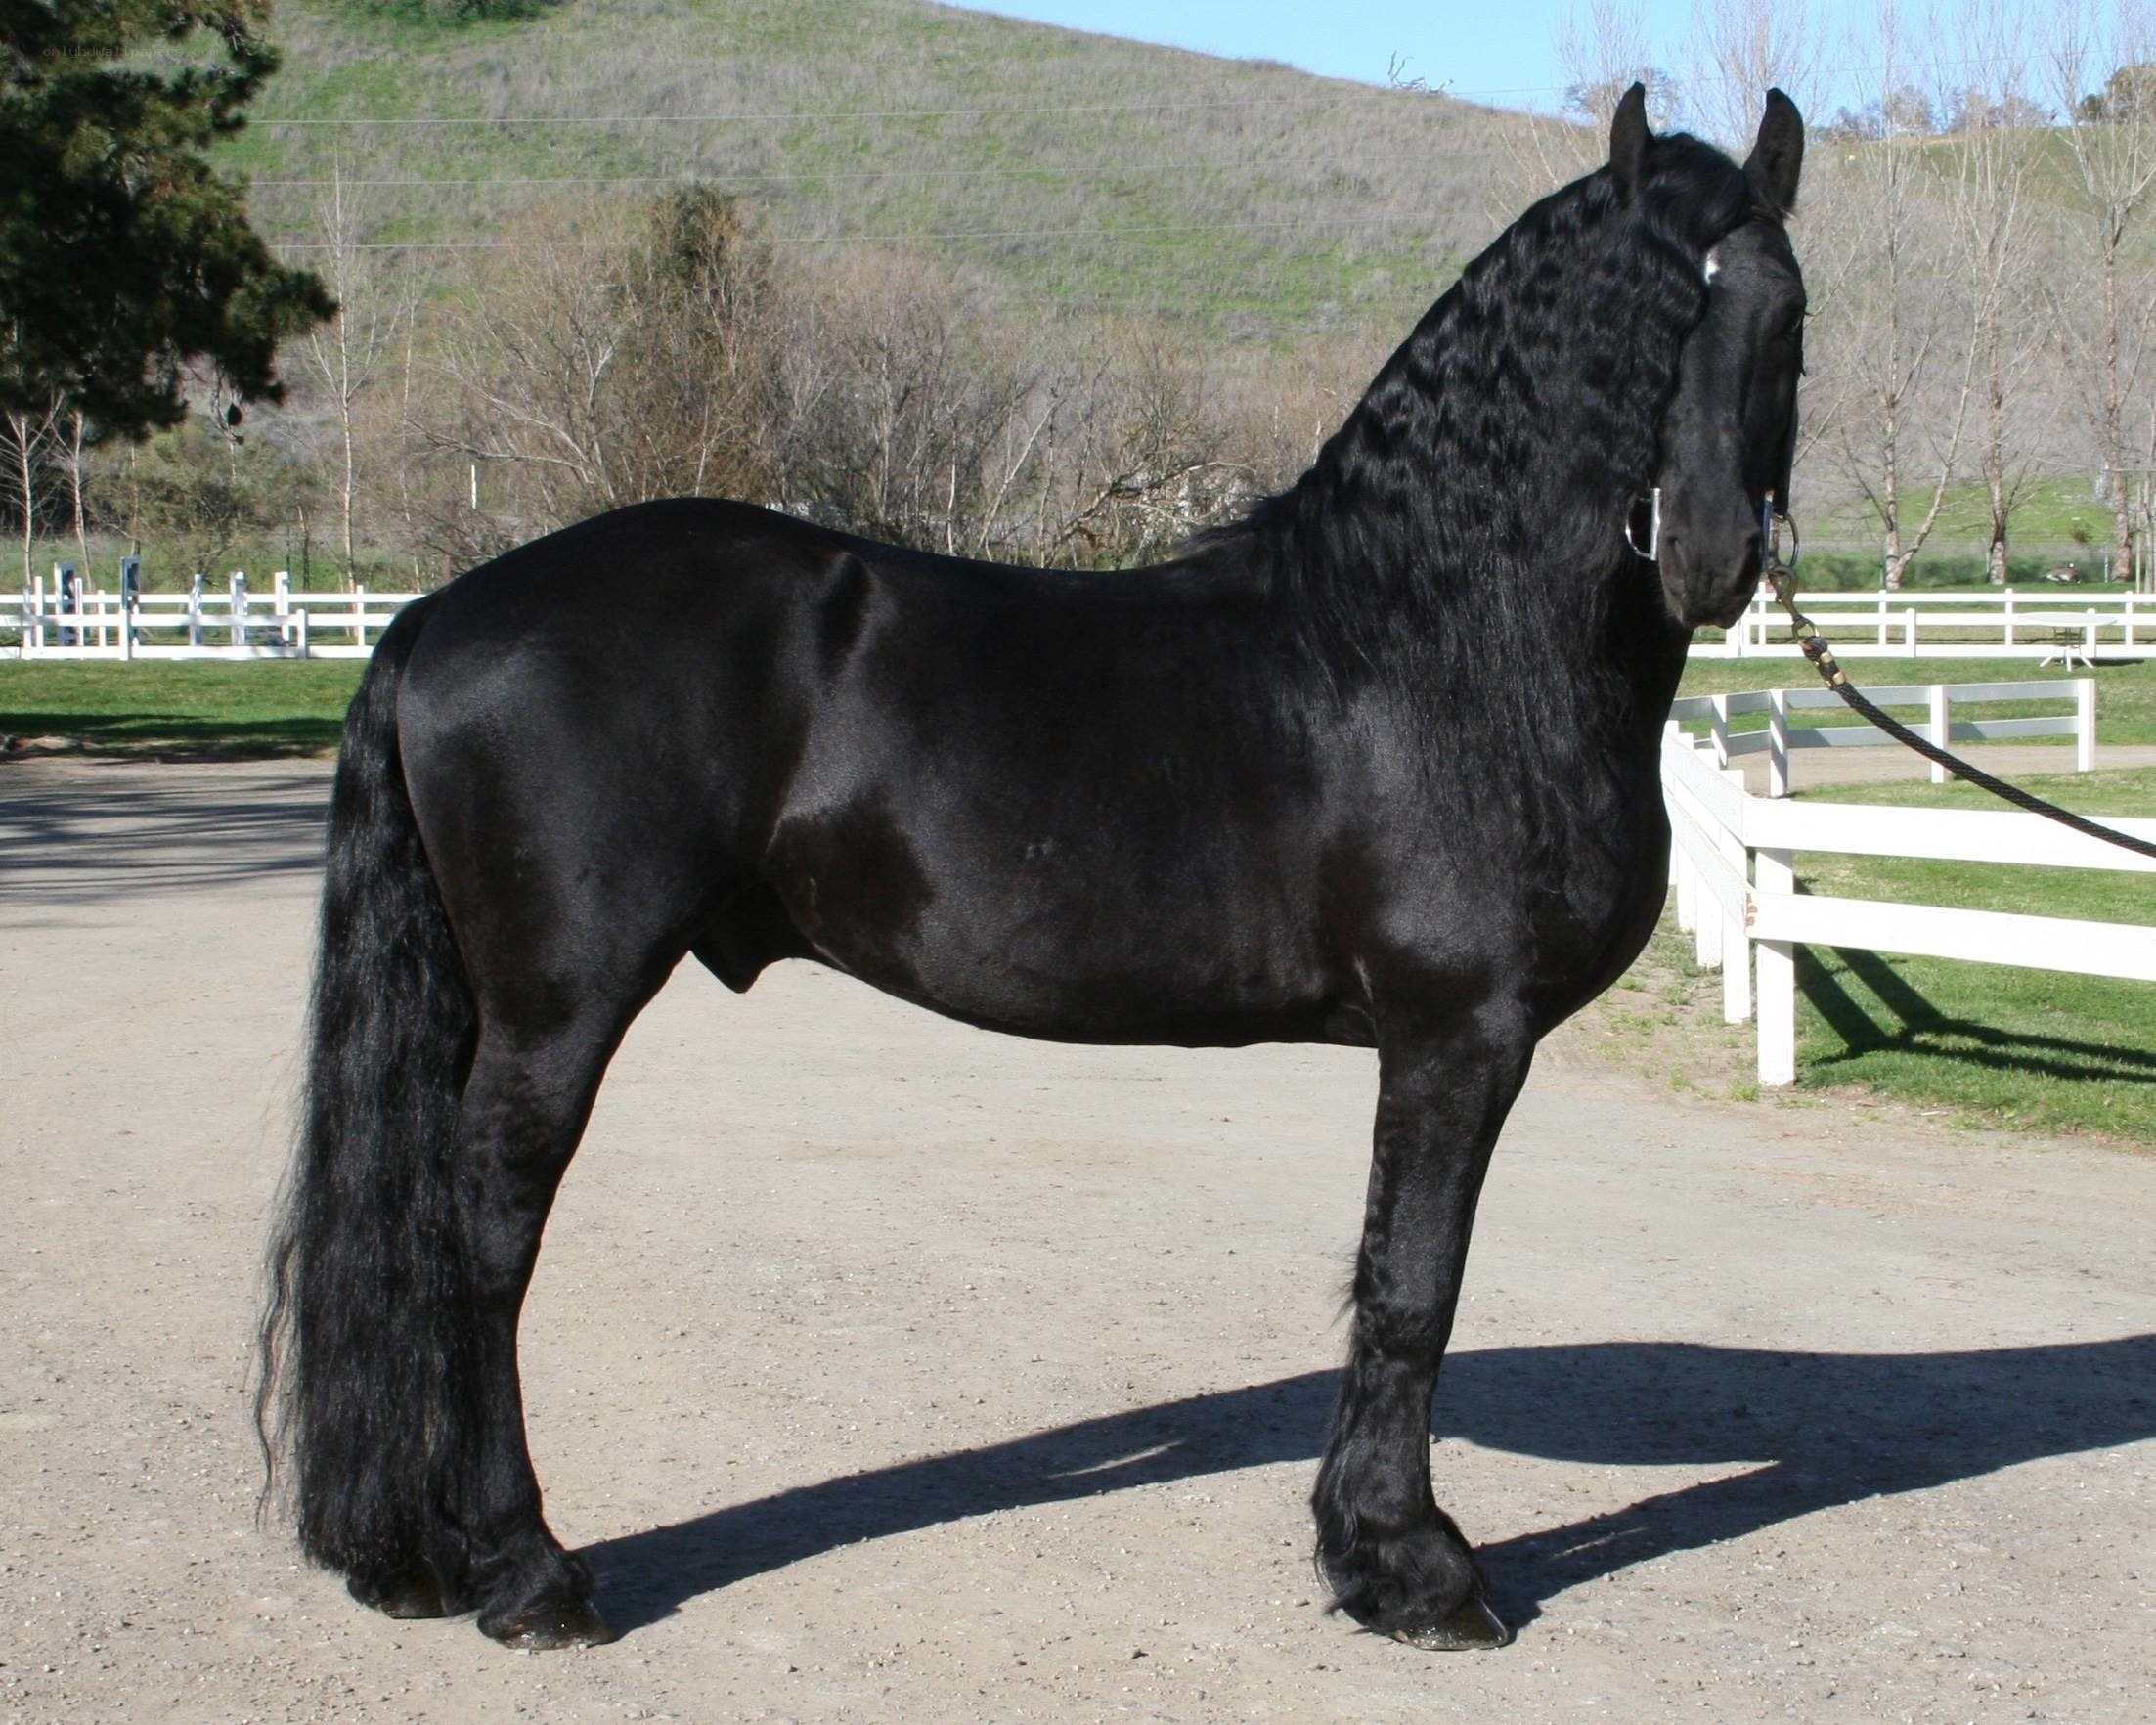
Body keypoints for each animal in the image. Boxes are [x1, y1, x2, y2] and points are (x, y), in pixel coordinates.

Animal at [258, 84, 1807, 1653]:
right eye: (1636, 315)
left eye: (1783, 313)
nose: (1709, 557)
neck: (1432, 642)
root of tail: (441, 612)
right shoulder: (1455, 1035)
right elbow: (1411, 1286)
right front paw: (1411, 1569)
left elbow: (1394, 1281)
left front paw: (1368, 1550)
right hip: (556, 1009)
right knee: (485, 1240)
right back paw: (526, 1572)